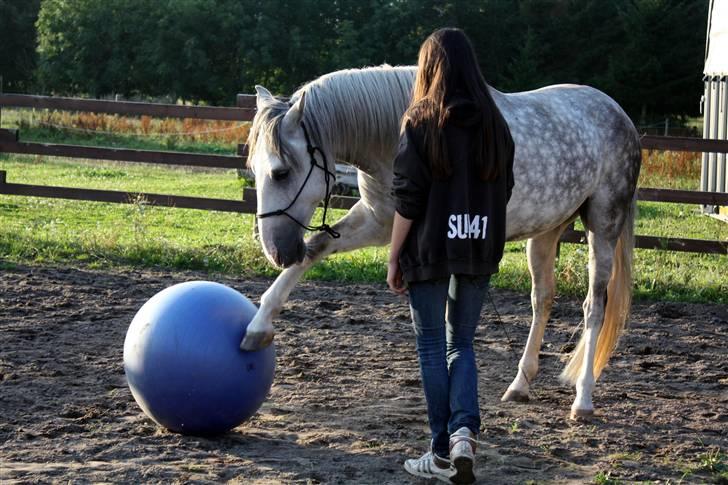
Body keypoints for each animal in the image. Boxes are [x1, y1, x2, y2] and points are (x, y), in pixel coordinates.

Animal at [242, 65, 640, 420]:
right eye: (254, 169)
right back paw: (520, 384)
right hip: (545, 231)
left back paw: (583, 399)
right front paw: (257, 327)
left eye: (281, 172)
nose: (277, 251)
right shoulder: (378, 222)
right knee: (542, 300)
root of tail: (619, 114)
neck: (393, 136)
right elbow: (316, 248)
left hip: (603, 225)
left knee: (594, 307)